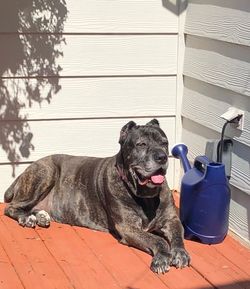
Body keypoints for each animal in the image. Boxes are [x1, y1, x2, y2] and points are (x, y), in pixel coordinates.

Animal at [3, 118, 189, 272]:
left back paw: (41, 216)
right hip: (46, 172)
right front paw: (162, 257)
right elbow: (157, 240)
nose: (162, 157)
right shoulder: (128, 227)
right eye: (141, 144)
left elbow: (178, 235)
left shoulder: (172, 219)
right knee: (11, 207)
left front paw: (180, 253)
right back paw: (27, 218)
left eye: (165, 143)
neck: (146, 196)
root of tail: (28, 168)